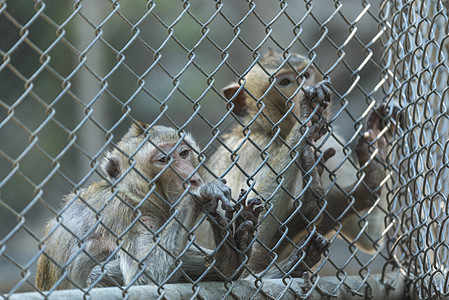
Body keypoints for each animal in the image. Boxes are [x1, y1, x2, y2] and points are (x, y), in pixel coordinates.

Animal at [35, 122, 258, 290]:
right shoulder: (127, 213)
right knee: (100, 274)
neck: (137, 196)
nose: (192, 178)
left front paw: (234, 250)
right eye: (164, 159)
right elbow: (144, 278)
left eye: (184, 153)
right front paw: (198, 195)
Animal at [197, 49, 396, 276]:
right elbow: (249, 229)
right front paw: (304, 115)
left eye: (306, 75)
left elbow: (369, 238)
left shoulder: (330, 142)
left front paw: (376, 156)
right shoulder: (253, 149)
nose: (303, 91)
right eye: (285, 82)